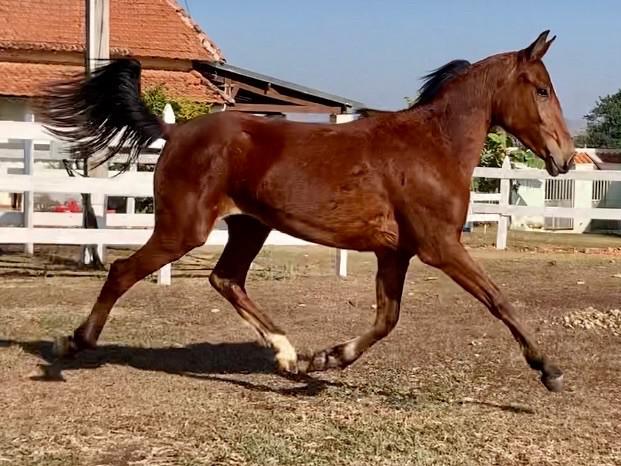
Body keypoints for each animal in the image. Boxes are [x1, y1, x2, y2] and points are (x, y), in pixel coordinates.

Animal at [43, 31, 572, 392]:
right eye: (542, 90)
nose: (565, 157)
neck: (430, 148)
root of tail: (175, 132)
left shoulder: (395, 252)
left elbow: (387, 318)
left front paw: (325, 359)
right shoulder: (439, 245)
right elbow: (498, 299)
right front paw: (549, 369)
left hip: (248, 227)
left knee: (226, 279)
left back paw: (287, 353)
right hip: (183, 229)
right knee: (123, 270)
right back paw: (73, 342)